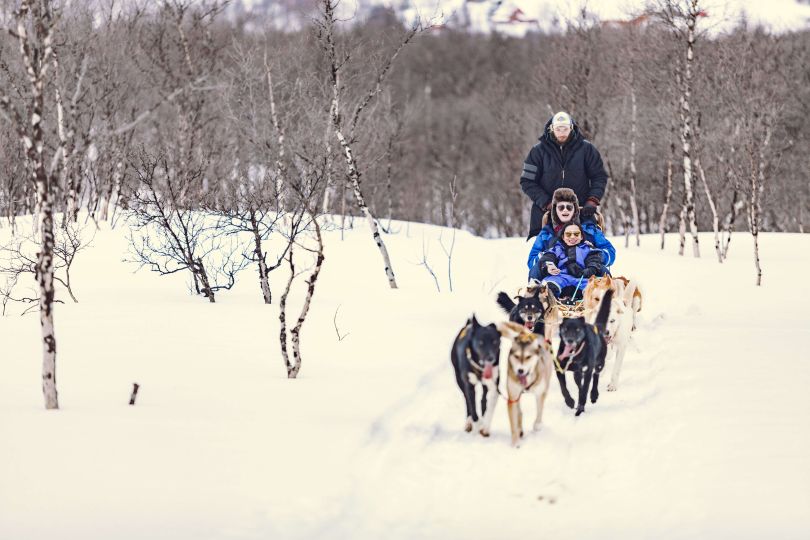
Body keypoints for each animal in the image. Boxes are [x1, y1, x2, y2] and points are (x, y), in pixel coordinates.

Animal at [556, 288, 612, 416]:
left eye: (577, 329)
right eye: (565, 329)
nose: (570, 340)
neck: (572, 354)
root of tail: (597, 327)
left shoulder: (588, 371)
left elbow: (585, 388)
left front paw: (580, 407)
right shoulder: (559, 369)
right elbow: (563, 388)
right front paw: (570, 401)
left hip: (599, 363)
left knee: (596, 376)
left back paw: (594, 395)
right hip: (577, 373)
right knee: (579, 384)